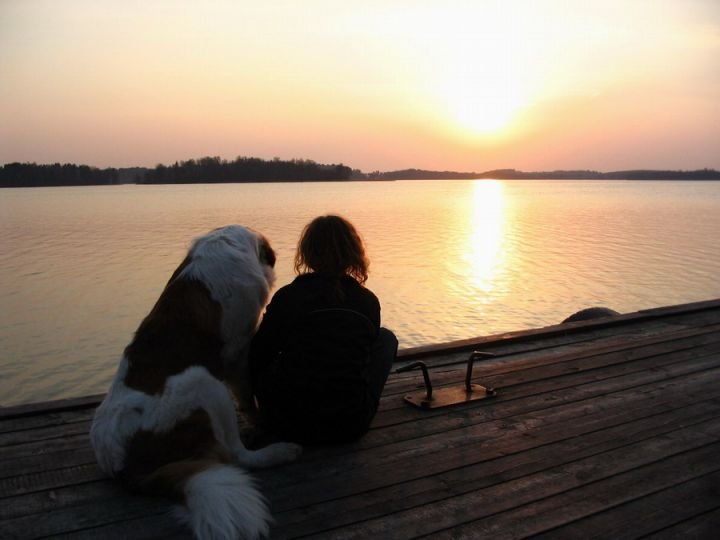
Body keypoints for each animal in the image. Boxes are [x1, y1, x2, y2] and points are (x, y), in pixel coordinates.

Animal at [90, 225, 302, 540]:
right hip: (204, 383)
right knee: (236, 455)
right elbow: (247, 395)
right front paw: (259, 422)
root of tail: (124, 467)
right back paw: (281, 451)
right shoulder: (238, 352)